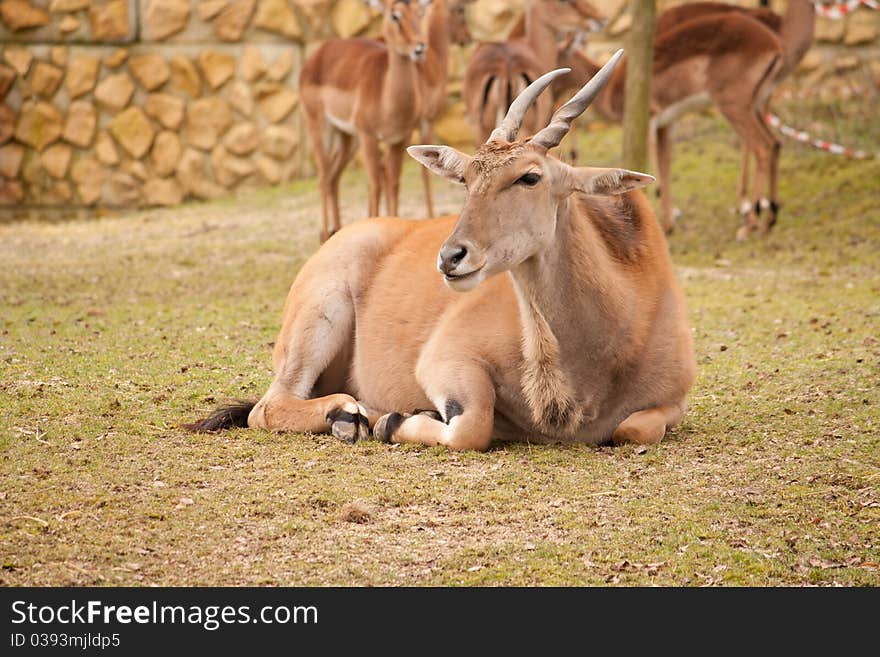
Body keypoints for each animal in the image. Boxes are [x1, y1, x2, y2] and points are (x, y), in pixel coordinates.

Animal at [189, 53, 696, 452]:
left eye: (530, 177)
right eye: (467, 179)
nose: (451, 257)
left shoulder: (672, 402)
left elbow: (633, 429)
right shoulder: (446, 360)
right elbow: (472, 426)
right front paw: (393, 420)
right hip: (318, 315)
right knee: (267, 407)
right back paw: (348, 415)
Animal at [300, 0, 430, 241]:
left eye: (420, 11)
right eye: (395, 15)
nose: (419, 46)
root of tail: (318, 53)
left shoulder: (399, 139)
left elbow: (394, 184)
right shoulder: (369, 136)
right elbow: (375, 184)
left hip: (348, 138)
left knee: (333, 177)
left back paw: (337, 230)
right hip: (321, 129)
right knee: (323, 177)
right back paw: (324, 234)